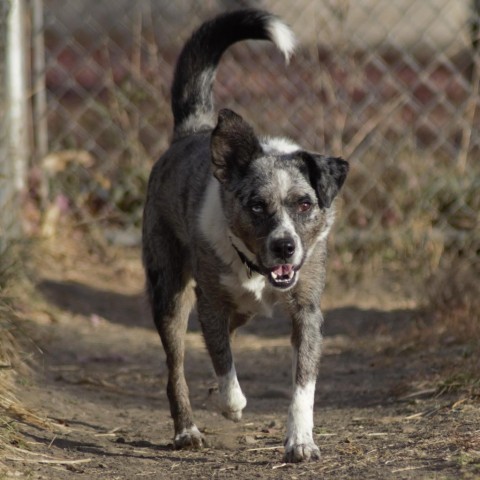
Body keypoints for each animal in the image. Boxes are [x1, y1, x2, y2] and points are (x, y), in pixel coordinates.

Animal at [142, 10, 348, 462]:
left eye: (304, 204)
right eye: (256, 205)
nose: (285, 246)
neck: (255, 268)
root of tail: (194, 130)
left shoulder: (307, 311)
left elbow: (303, 386)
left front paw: (301, 441)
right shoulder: (210, 302)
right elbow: (223, 362)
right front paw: (230, 404)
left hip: (243, 310)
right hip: (170, 293)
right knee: (176, 367)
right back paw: (187, 430)